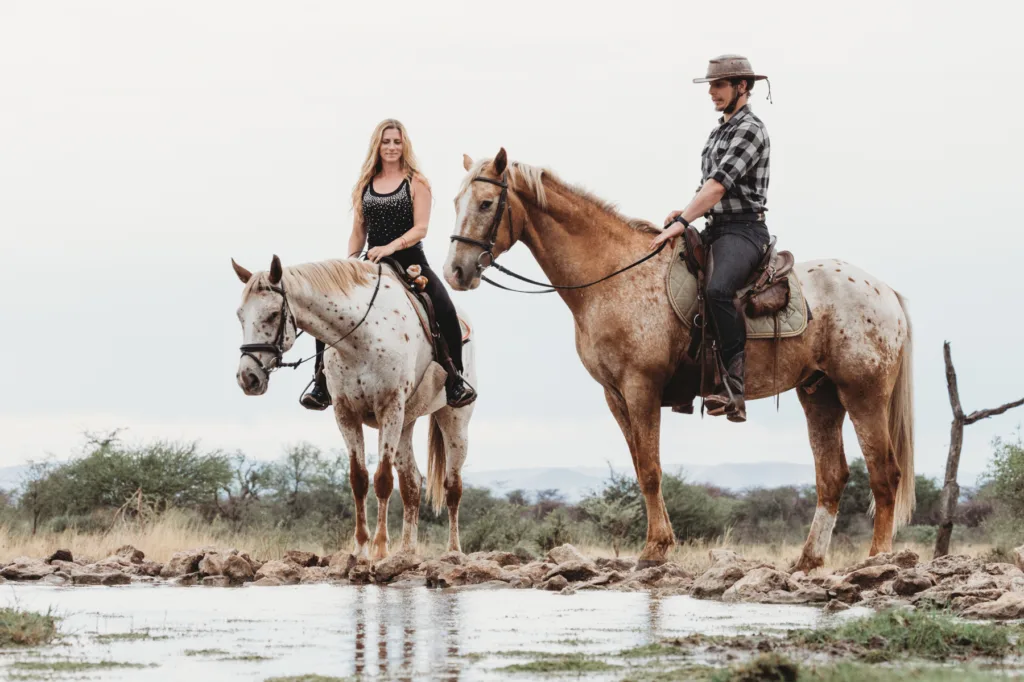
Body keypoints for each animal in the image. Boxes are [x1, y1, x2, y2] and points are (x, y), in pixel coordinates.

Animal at [232, 254, 475, 557]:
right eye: (240, 316)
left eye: (273, 314)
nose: (248, 378)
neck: (359, 337)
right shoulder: (345, 413)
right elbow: (358, 479)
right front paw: (360, 548)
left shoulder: (389, 408)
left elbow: (383, 480)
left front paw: (380, 549)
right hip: (406, 422)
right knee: (411, 484)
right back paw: (407, 552)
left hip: (454, 420)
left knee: (452, 487)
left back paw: (453, 551)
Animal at [444, 150, 917, 569]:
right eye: (454, 202)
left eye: (486, 203)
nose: (456, 272)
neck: (612, 277)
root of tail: (885, 291)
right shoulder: (615, 395)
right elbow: (640, 468)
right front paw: (659, 543)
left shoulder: (641, 387)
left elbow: (652, 470)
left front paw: (655, 549)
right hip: (819, 395)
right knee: (832, 477)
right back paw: (808, 561)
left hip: (863, 395)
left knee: (885, 474)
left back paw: (877, 558)